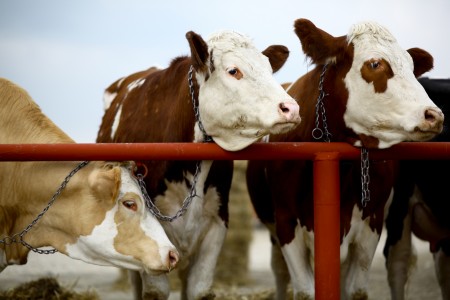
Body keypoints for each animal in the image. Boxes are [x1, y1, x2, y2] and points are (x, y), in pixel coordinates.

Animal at [96, 28, 300, 300]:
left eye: (269, 69)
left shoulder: (216, 224)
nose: (291, 108)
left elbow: (199, 289)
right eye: (233, 71)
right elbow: (156, 290)